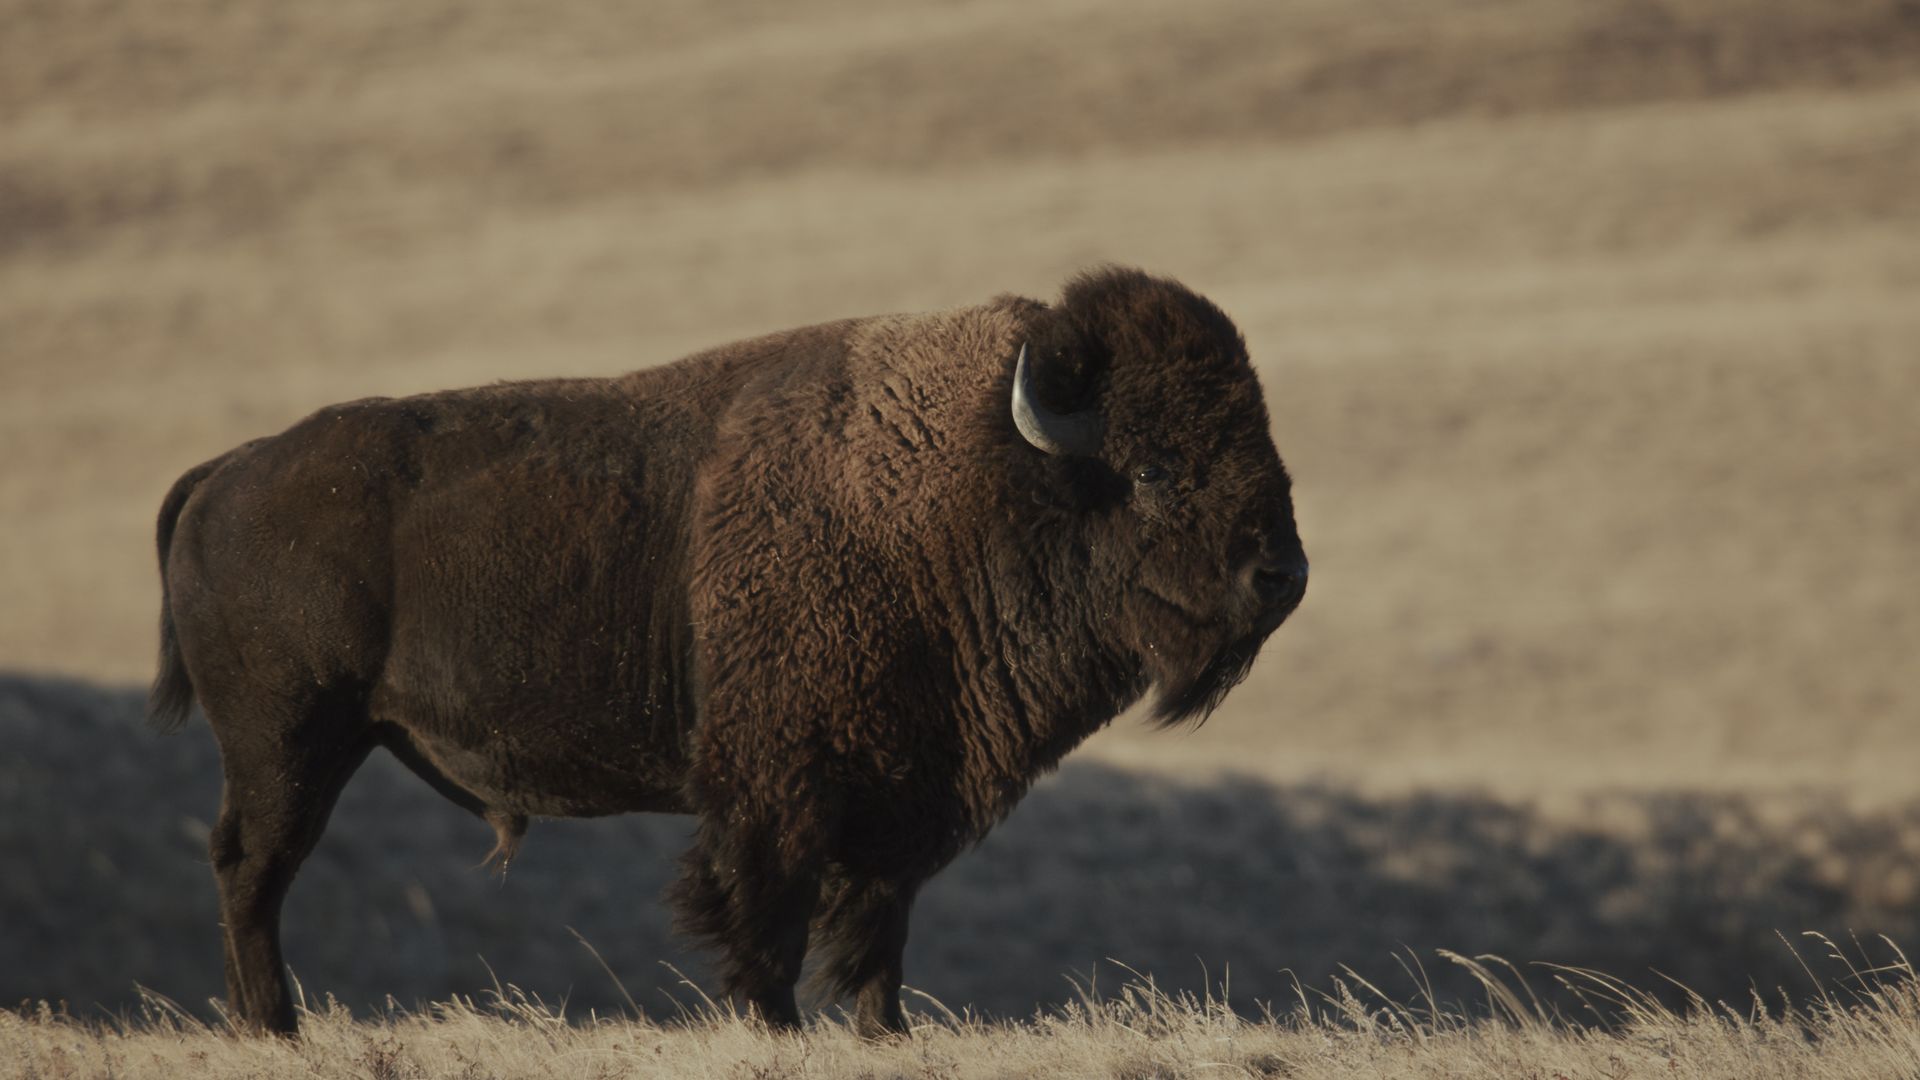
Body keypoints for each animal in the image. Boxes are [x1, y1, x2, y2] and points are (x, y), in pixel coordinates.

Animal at [149, 267, 1307, 1036]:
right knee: (253, 869)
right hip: (289, 743)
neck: (975, 478)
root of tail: (226, 472)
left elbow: (877, 933)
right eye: (1154, 468)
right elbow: (769, 925)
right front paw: (776, 1027)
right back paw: (273, 1024)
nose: (1282, 575)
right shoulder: (774, 794)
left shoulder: (902, 801)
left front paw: (884, 1035)